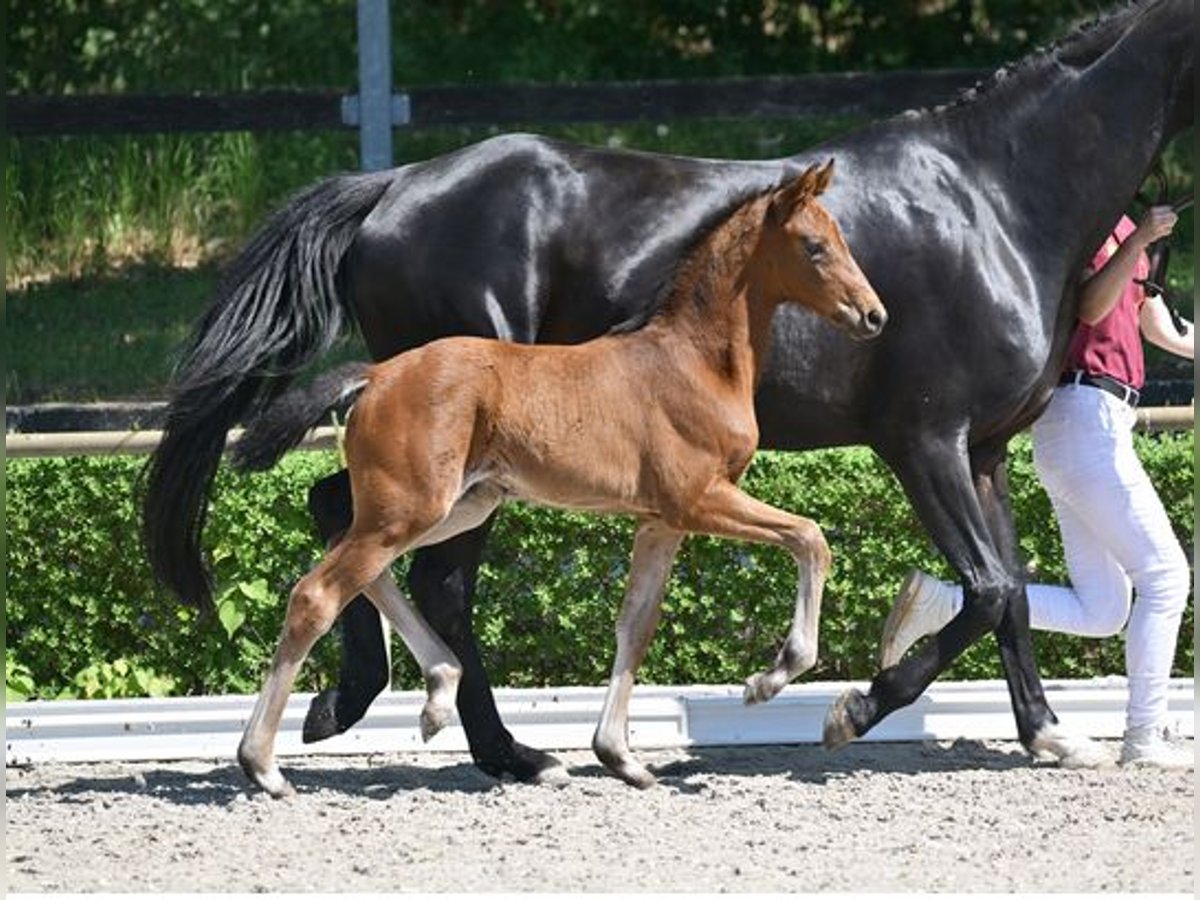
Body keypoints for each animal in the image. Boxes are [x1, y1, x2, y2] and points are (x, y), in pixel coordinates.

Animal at [231, 163, 886, 796]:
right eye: (814, 246)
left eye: (841, 239)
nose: (873, 314)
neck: (693, 363)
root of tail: (378, 374)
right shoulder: (700, 499)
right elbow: (810, 537)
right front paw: (769, 679)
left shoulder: (660, 522)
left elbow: (635, 624)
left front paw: (621, 758)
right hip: (410, 508)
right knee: (317, 593)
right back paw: (263, 766)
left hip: (454, 506)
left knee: (362, 564)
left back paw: (438, 695)